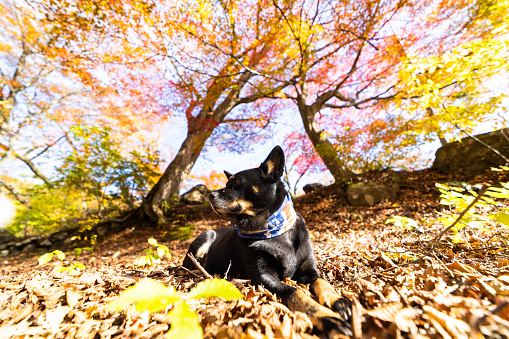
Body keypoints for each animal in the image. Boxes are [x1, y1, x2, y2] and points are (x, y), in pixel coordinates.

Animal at [184, 145, 354, 338]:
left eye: (237, 182)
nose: (210, 195)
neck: (271, 228)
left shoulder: (309, 271)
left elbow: (323, 282)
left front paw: (339, 301)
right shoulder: (264, 277)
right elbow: (294, 292)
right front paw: (326, 317)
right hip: (205, 237)